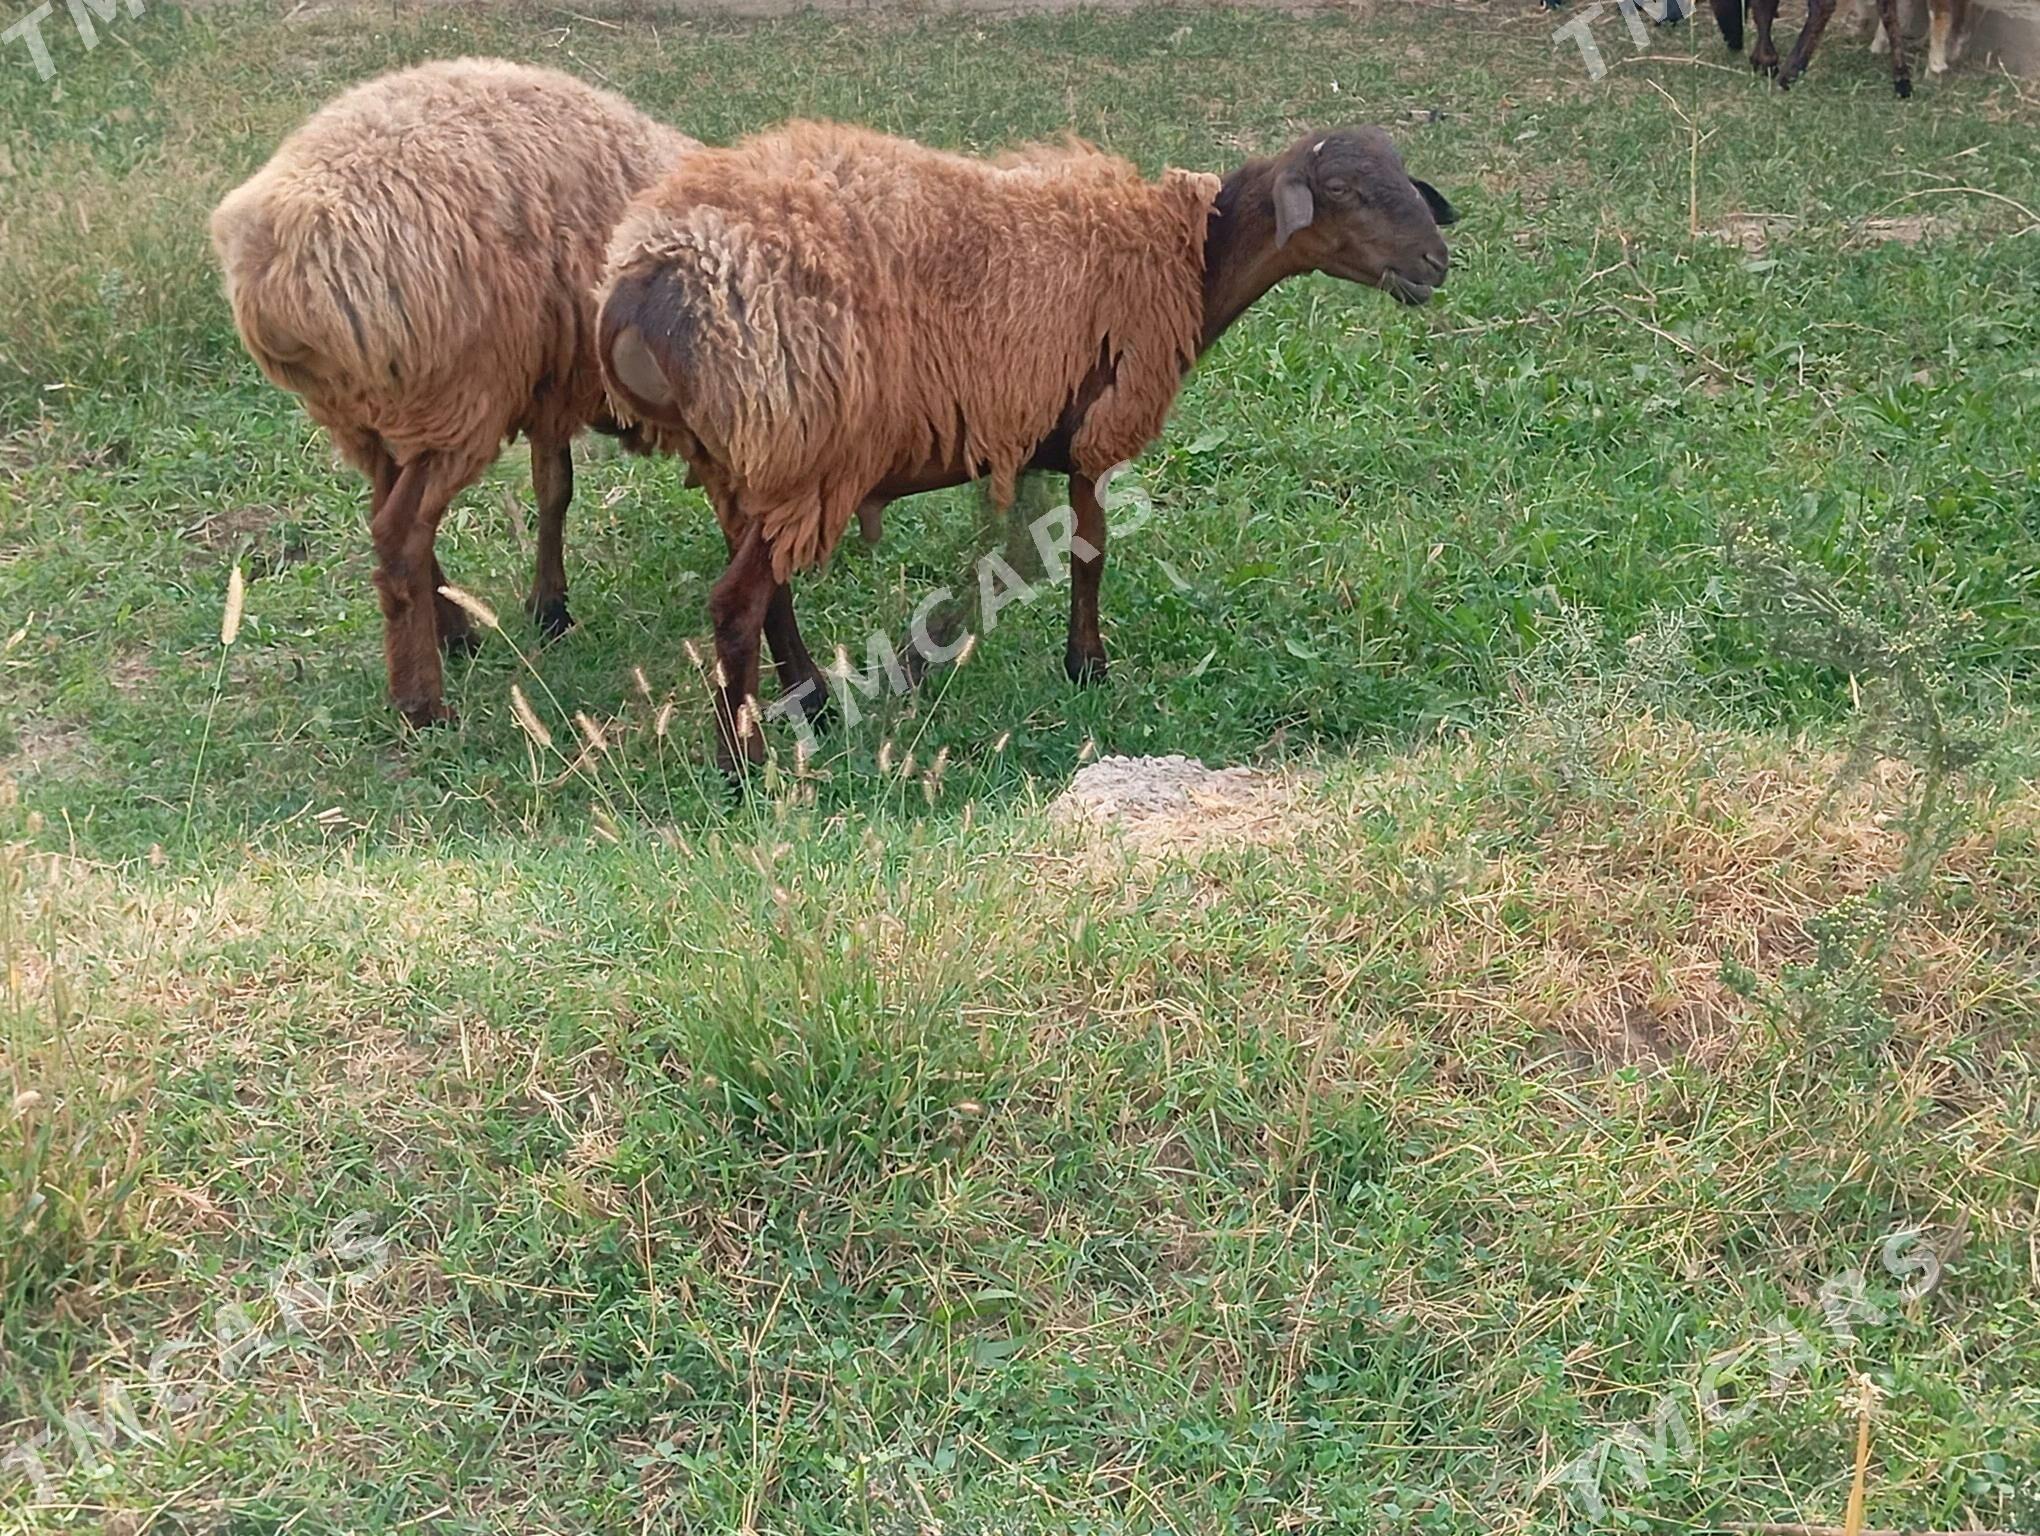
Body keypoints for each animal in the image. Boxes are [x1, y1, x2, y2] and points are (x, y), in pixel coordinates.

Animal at [207, 58, 701, 726]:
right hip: (461, 400)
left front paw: (547, 608)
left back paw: (451, 629)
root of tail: (278, 268)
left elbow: (553, 487)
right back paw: (422, 700)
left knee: (391, 518)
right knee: (398, 538)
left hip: (372, 415)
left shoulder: (547, 379)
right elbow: (559, 489)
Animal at [591, 119, 1452, 771]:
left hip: (747, 461)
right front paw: (1087, 666)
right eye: (1342, 191)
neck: (1192, 261)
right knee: (736, 606)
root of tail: (641, 279)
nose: (1436, 262)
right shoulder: (1093, 430)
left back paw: (812, 703)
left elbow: (994, 557)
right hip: (804, 450)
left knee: (770, 595)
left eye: (1403, 177)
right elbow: (1087, 552)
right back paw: (743, 767)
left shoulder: (1019, 438)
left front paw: (932, 654)